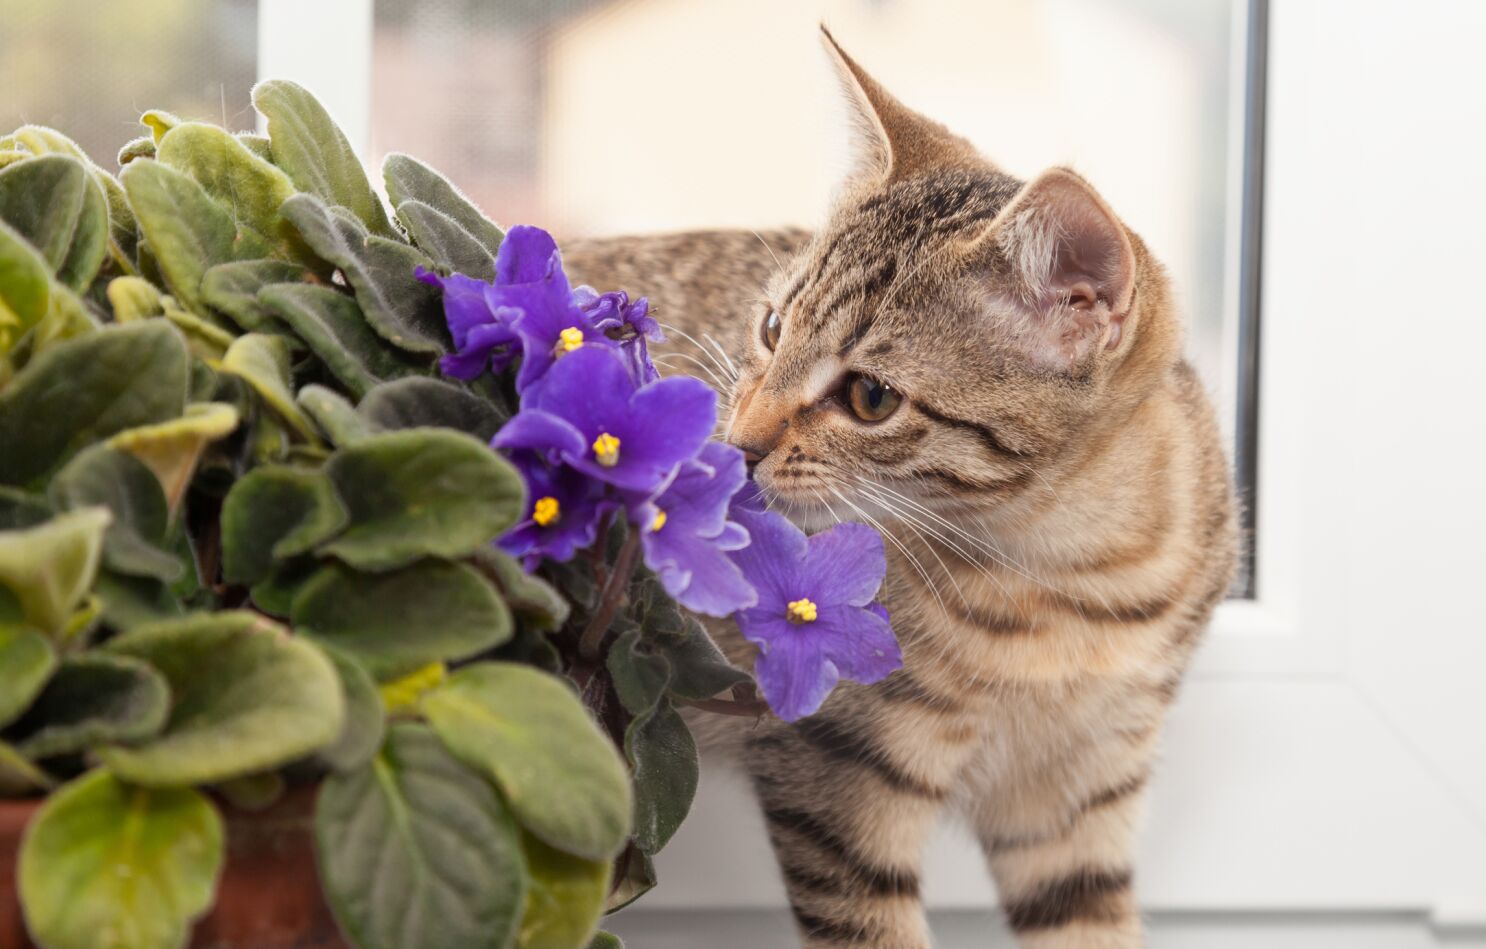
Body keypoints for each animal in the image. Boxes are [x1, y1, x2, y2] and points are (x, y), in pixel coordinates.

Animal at [561, 29, 1236, 949]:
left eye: (871, 397)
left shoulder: (1081, 792)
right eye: (771, 327)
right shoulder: (842, 772)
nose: (738, 442)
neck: (1070, 581)